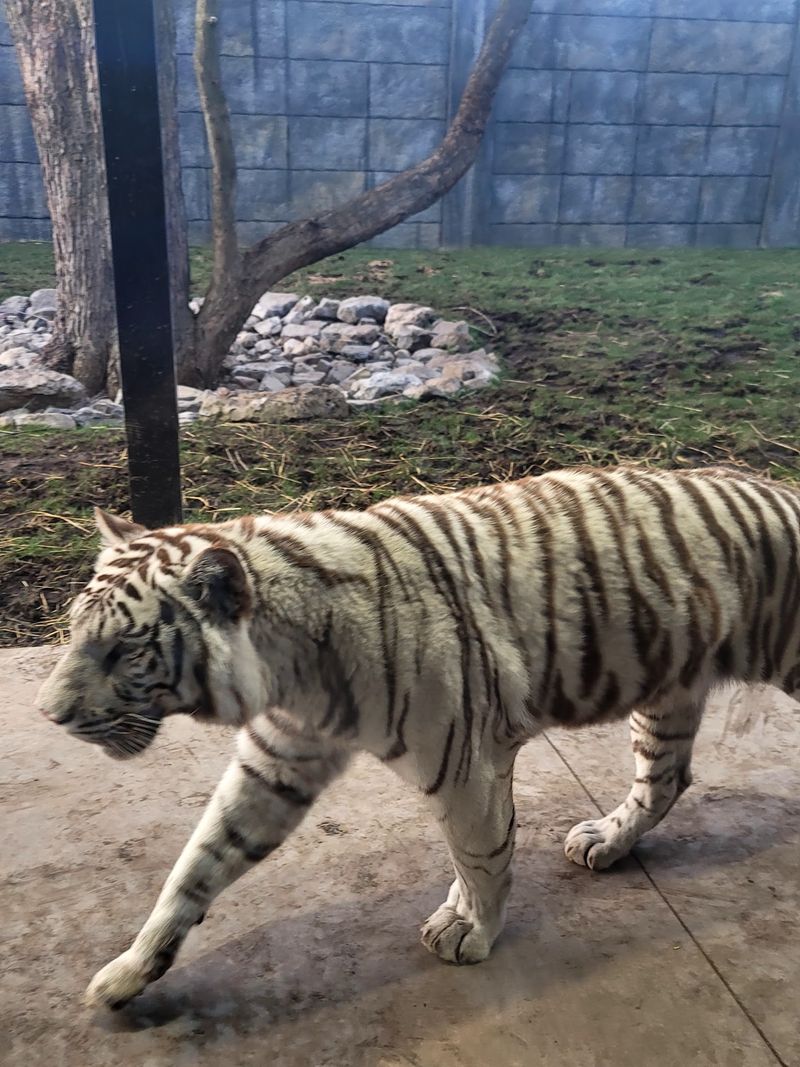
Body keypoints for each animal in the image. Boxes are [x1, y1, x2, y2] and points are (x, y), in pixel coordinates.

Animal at [37, 464, 800, 1010]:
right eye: (75, 632)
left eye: (121, 652)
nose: (49, 714)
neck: (289, 668)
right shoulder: (276, 763)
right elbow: (196, 865)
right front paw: (128, 973)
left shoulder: (465, 763)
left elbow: (481, 854)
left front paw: (472, 931)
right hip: (668, 691)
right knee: (665, 777)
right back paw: (606, 841)